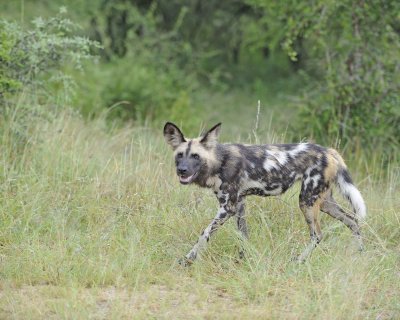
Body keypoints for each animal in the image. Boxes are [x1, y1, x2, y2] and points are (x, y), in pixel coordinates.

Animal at [162, 121, 366, 264]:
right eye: (180, 155)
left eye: (195, 156)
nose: (182, 170)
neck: (219, 162)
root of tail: (329, 151)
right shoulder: (239, 204)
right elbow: (243, 235)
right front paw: (243, 260)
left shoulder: (227, 208)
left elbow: (204, 234)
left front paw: (188, 259)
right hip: (324, 203)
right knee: (353, 221)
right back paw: (360, 254)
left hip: (307, 201)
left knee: (318, 235)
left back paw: (298, 261)